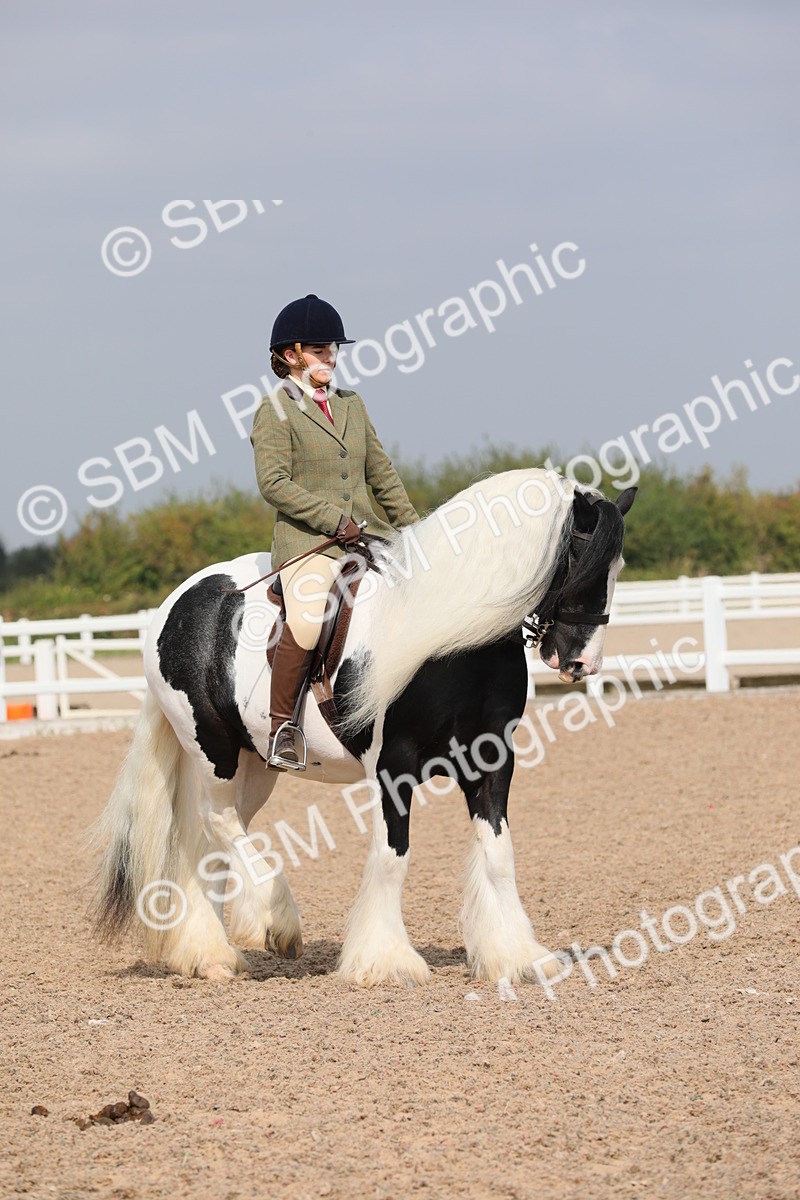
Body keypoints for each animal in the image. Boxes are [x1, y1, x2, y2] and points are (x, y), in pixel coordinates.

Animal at [93, 467, 636, 987]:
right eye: (580, 563)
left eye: (617, 569)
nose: (582, 663)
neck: (451, 637)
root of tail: (178, 603)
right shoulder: (393, 767)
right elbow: (393, 857)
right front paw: (386, 961)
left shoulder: (492, 760)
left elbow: (499, 854)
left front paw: (517, 956)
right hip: (214, 750)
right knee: (219, 822)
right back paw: (273, 922)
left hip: (256, 762)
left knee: (211, 840)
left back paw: (209, 955)